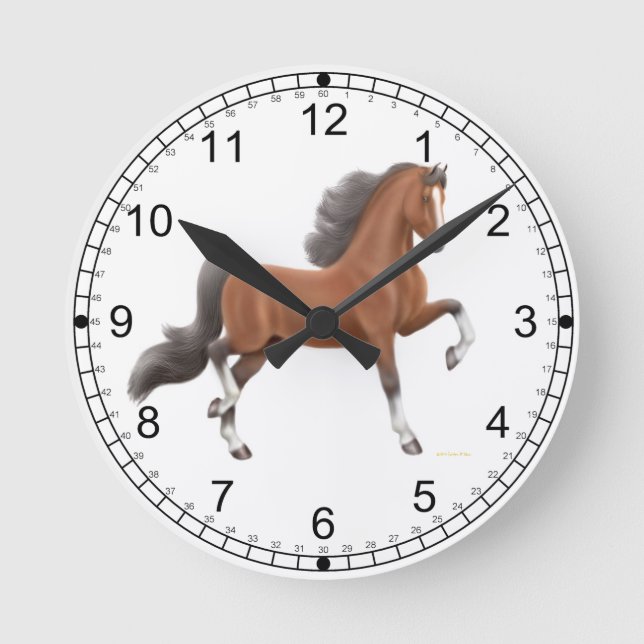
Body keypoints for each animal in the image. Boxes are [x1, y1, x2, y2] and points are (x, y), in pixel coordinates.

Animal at [128, 162, 475, 459]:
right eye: (426, 197)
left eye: (444, 197)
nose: (439, 243)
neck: (377, 269)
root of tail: (232, 274)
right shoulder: (382, 336)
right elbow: (392, 381)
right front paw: (408, 439)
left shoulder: (409, 323)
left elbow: (456, 308)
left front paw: (452, 357)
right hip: (249, 338)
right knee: (217, 353)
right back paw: (219, 406)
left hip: (261, 350)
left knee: (237, 377)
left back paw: (236, 443)